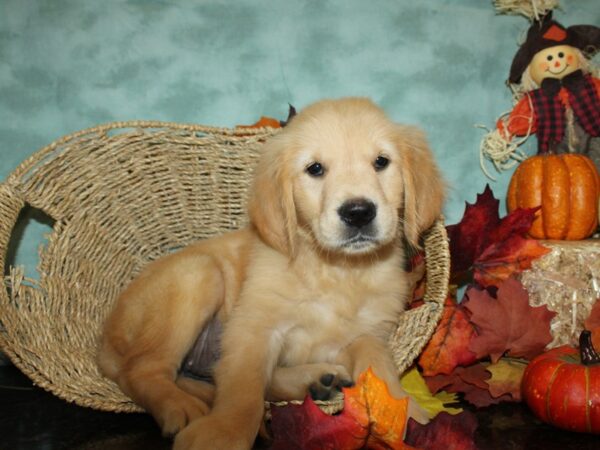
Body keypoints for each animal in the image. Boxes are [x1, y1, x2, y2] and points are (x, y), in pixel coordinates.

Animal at [98, 96, 446, 448]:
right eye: (315, 169)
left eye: (381, 162)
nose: (359, 212)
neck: (338, 270)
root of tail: (105, 339)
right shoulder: (253, 327)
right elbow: (244, 390)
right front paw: (223, 432)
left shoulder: (366, 332)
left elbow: (379, 364)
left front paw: (409, 413)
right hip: (198, 273)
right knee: (142, 369)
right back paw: (181, 407)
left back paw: (316, 381)